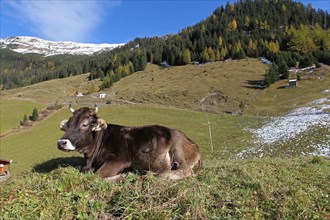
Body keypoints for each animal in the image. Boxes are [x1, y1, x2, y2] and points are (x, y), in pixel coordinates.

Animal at [57, 105, 201, 180]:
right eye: (68, 125)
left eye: (85, 124)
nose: (62, 142)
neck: (92, 156)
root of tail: (193, 143)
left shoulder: (120, 159)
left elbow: (97, 175)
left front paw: (123, 176)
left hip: (178, 150)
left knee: (186, 171)